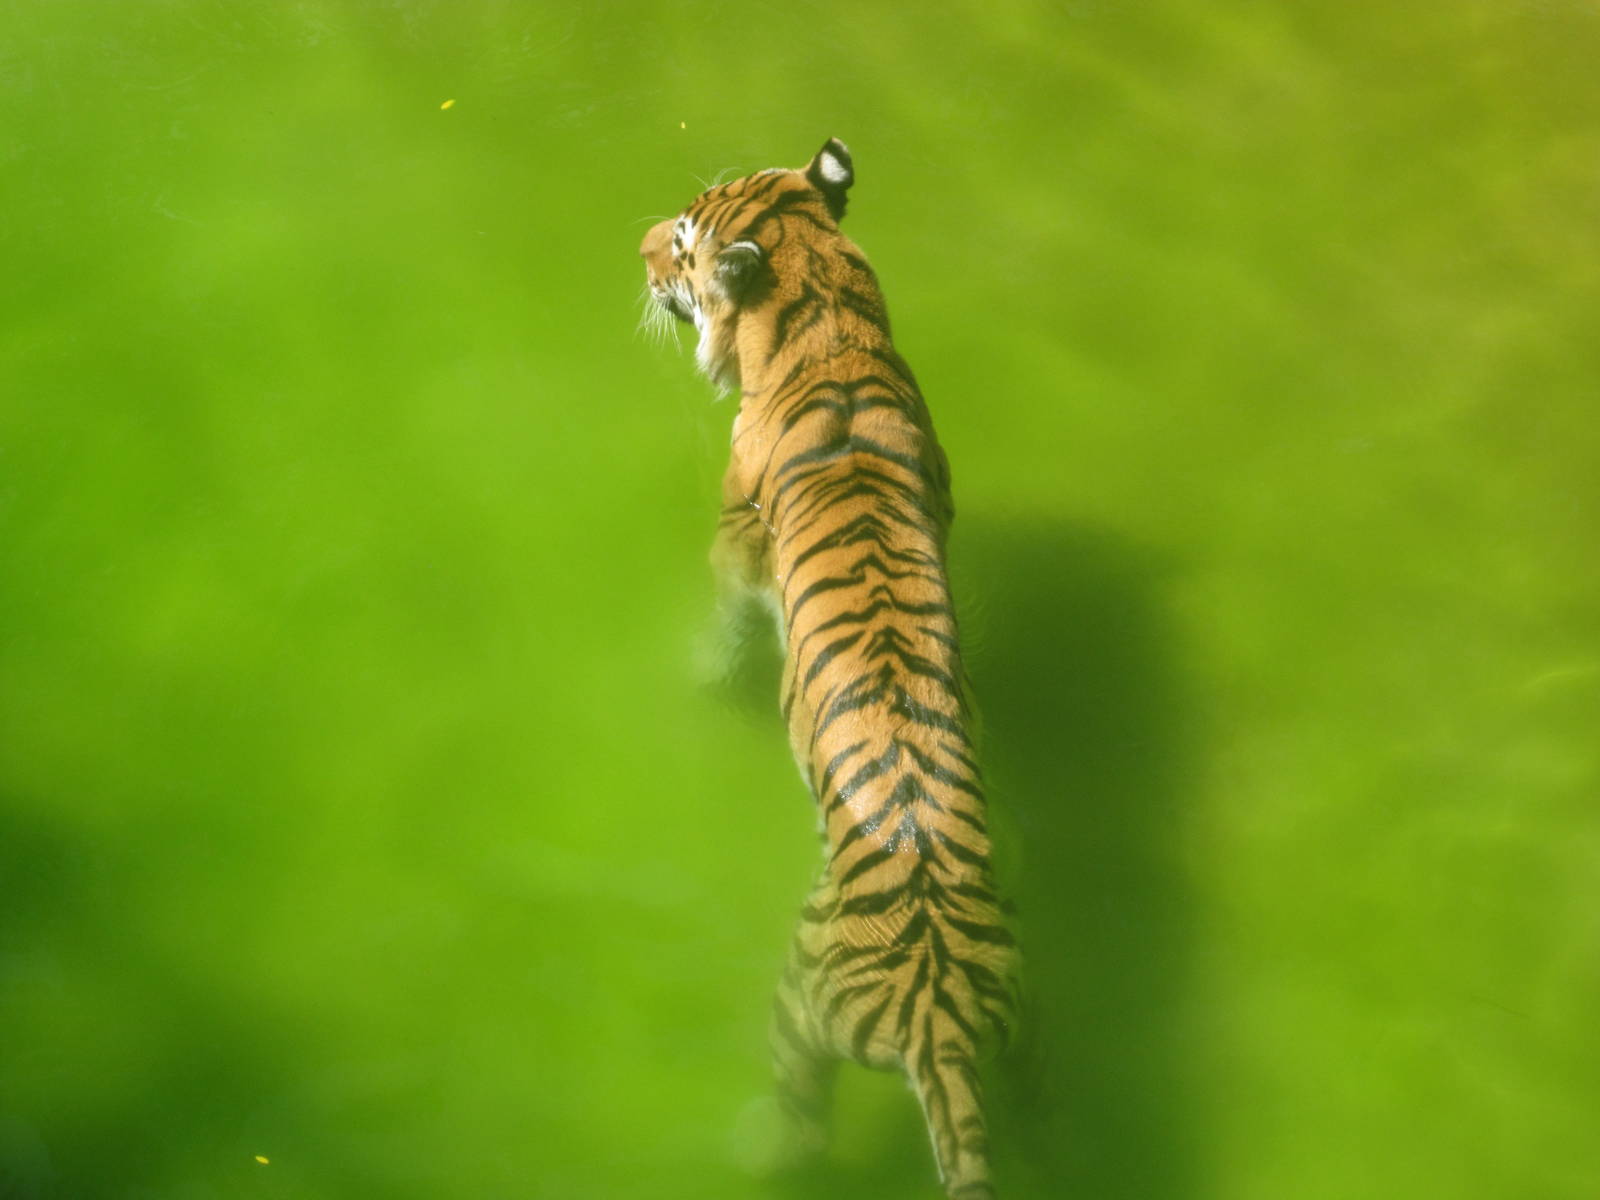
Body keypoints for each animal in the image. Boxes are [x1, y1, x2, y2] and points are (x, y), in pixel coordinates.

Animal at [640, 138, 1020, 1199]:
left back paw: (755, 1148)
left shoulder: (732, 546)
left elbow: (723, 629)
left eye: (679, 243)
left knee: (799, 1119)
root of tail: (939, 1017)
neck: (825, 320)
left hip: (799, 1005)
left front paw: (699, 677)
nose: (637, 249)